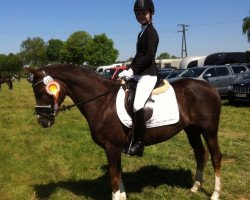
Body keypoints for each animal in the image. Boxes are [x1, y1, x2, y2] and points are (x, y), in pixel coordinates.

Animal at [27, 64, 223, 200]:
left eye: (40, 91)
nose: (42, 121)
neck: (102, 101)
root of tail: (211, 88)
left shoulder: (111, 147)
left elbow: (114, 178)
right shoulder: (115, 148)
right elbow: (118, 175)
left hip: (209, 130)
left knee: (215, 156)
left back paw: (215, 193)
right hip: (192, 130)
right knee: (200, 155)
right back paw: (194, 188)